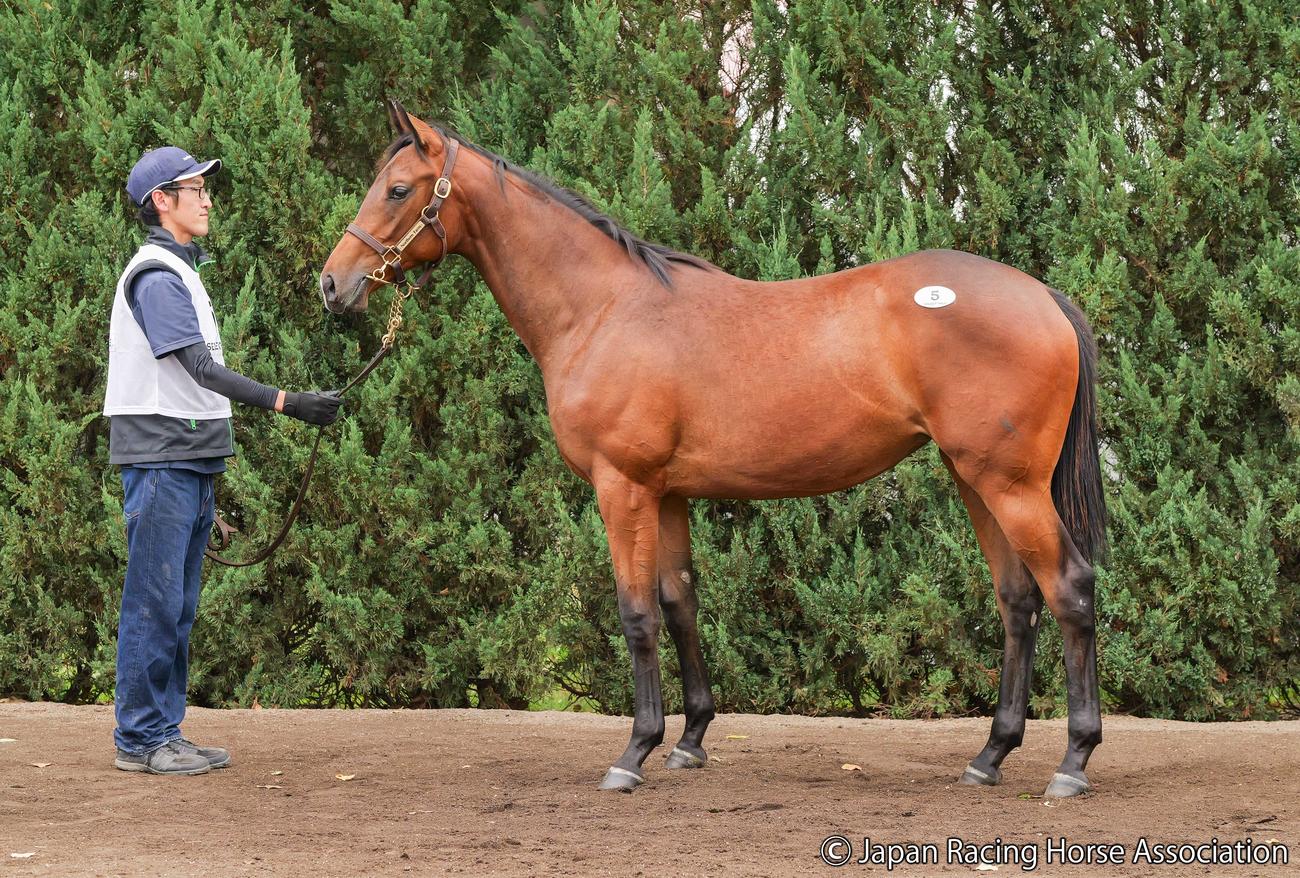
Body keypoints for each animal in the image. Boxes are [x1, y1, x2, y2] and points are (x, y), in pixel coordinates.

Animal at [320, 101, 1108, 799]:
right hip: (973, 479)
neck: (604, 310)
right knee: (1017, 601)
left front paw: (633, 753)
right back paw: (990, 755)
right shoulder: (667, 493)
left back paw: (1073, 762)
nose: (334, 284)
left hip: (1011, 485)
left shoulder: (623, 486)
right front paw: (690, 740)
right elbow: (679, 603)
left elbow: (636, 613)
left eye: (398, 189)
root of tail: (1044, 298)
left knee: (1069, 589)